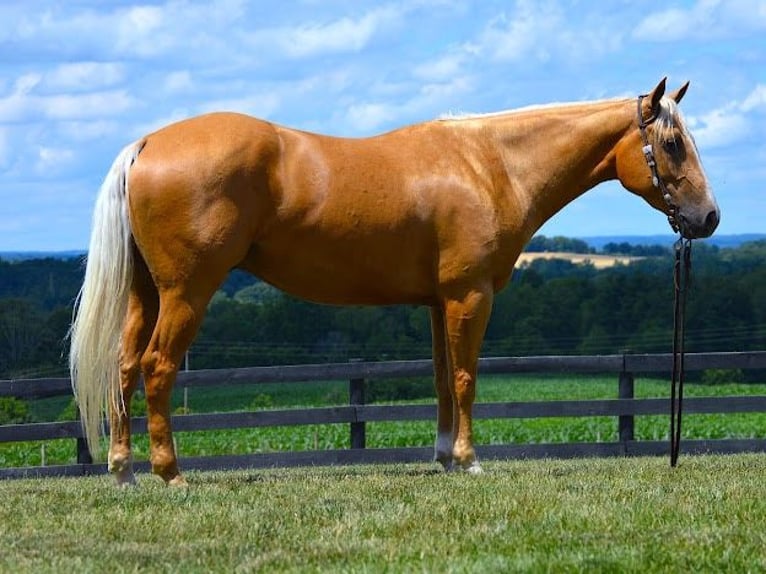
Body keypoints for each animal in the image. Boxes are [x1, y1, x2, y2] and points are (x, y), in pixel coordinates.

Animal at [70, 80, 720, 486]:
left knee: (124, 368)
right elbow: (466, 378)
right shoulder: (469, 296)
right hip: (187, 293)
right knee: (156, 368)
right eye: (671, 144)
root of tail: (147, 145)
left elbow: (440, 380)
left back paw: (124, 471)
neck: (488, 164)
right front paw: (469, 460)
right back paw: (170, 473)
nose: (709, 218)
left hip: (145, 294)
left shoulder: (436, 302)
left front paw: (444, 457)